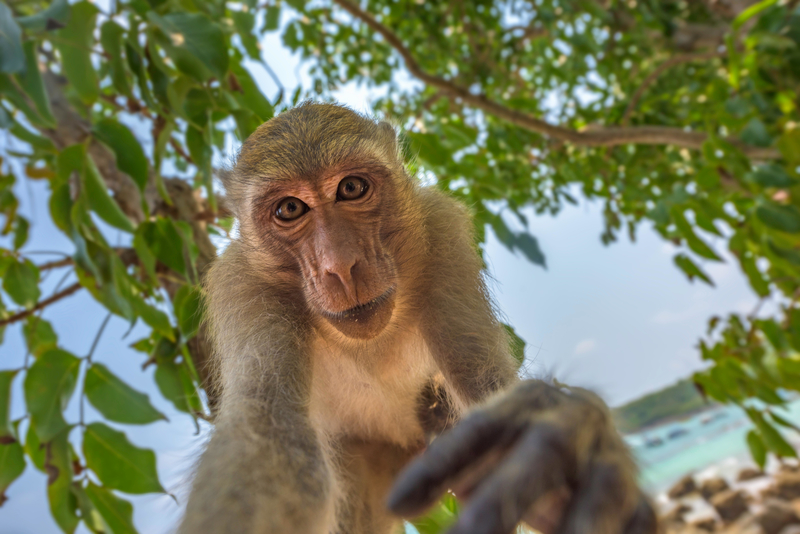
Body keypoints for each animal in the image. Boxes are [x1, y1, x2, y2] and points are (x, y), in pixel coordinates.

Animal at [180, 101, 656, 534]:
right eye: (290, 210)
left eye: (351, 188)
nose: (341, 265)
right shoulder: (244, 287)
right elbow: (272, 433)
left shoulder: (440, 232)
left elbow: (483, 382)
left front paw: (568, 435)